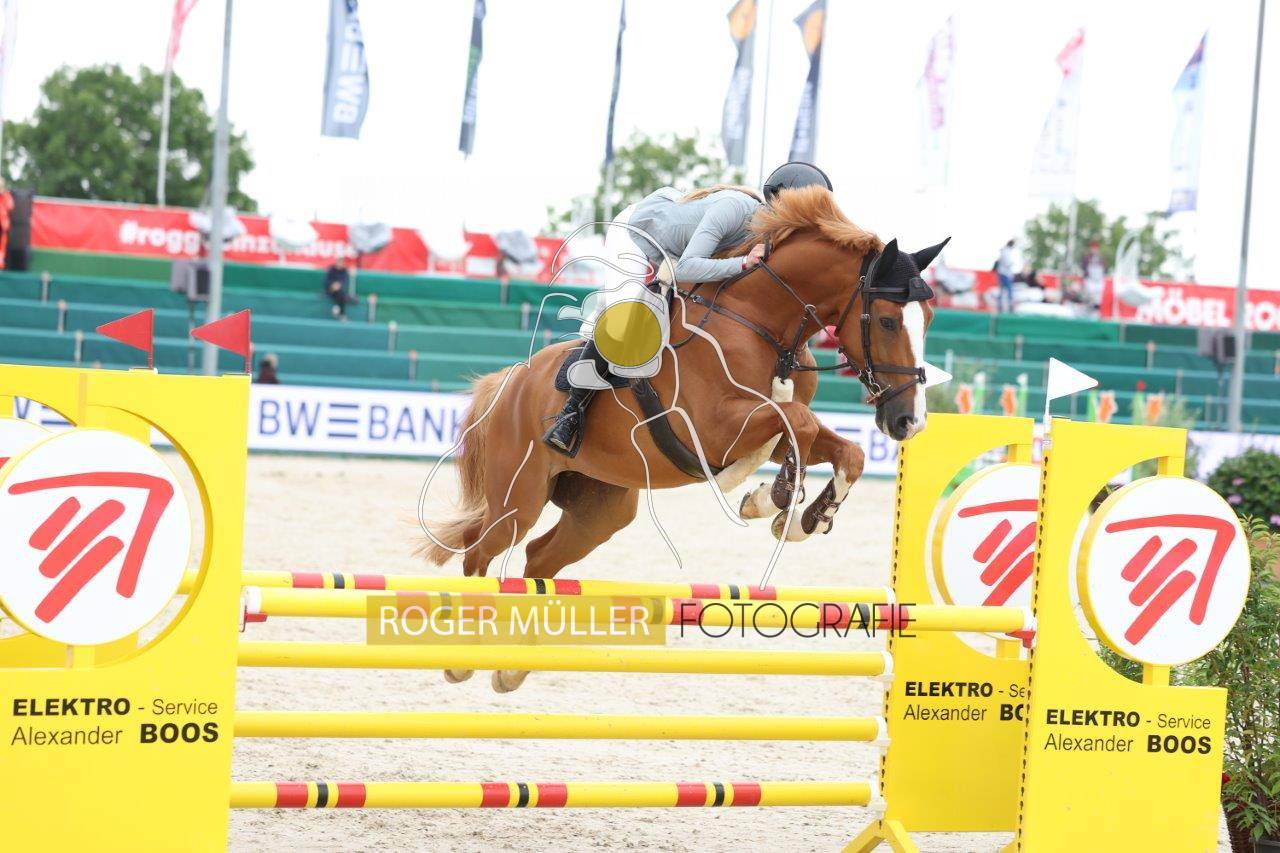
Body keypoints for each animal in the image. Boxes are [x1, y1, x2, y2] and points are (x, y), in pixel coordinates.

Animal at [420, 186, 944, 690]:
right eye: (887, 321)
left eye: (929, 319)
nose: (908, 422)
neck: (762, 321)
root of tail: (507, 382)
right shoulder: (714, 429)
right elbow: (798, 420)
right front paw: (768, 498)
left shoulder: (766, 430)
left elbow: (841, 448)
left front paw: (795, 518)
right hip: (519, 498)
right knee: (479, 550)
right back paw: (462, 662)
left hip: (600, 509)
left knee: (538, 561)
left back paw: (511, 669)